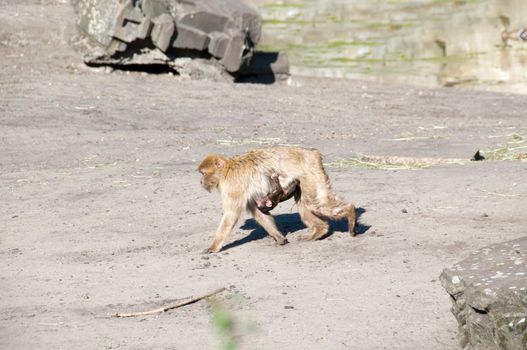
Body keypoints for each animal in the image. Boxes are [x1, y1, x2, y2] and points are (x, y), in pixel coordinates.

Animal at [199, 146, 358, 253]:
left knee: (315, 204)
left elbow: (230, 215)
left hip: (311, 176)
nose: (200, 181)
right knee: (305, 205)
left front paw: (214, 247)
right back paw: (320, 230)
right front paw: (280, 238)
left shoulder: (232, 185)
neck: (227, 169)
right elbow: (258, 212)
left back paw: (350, 211)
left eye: (203, 173)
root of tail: (312, 153)